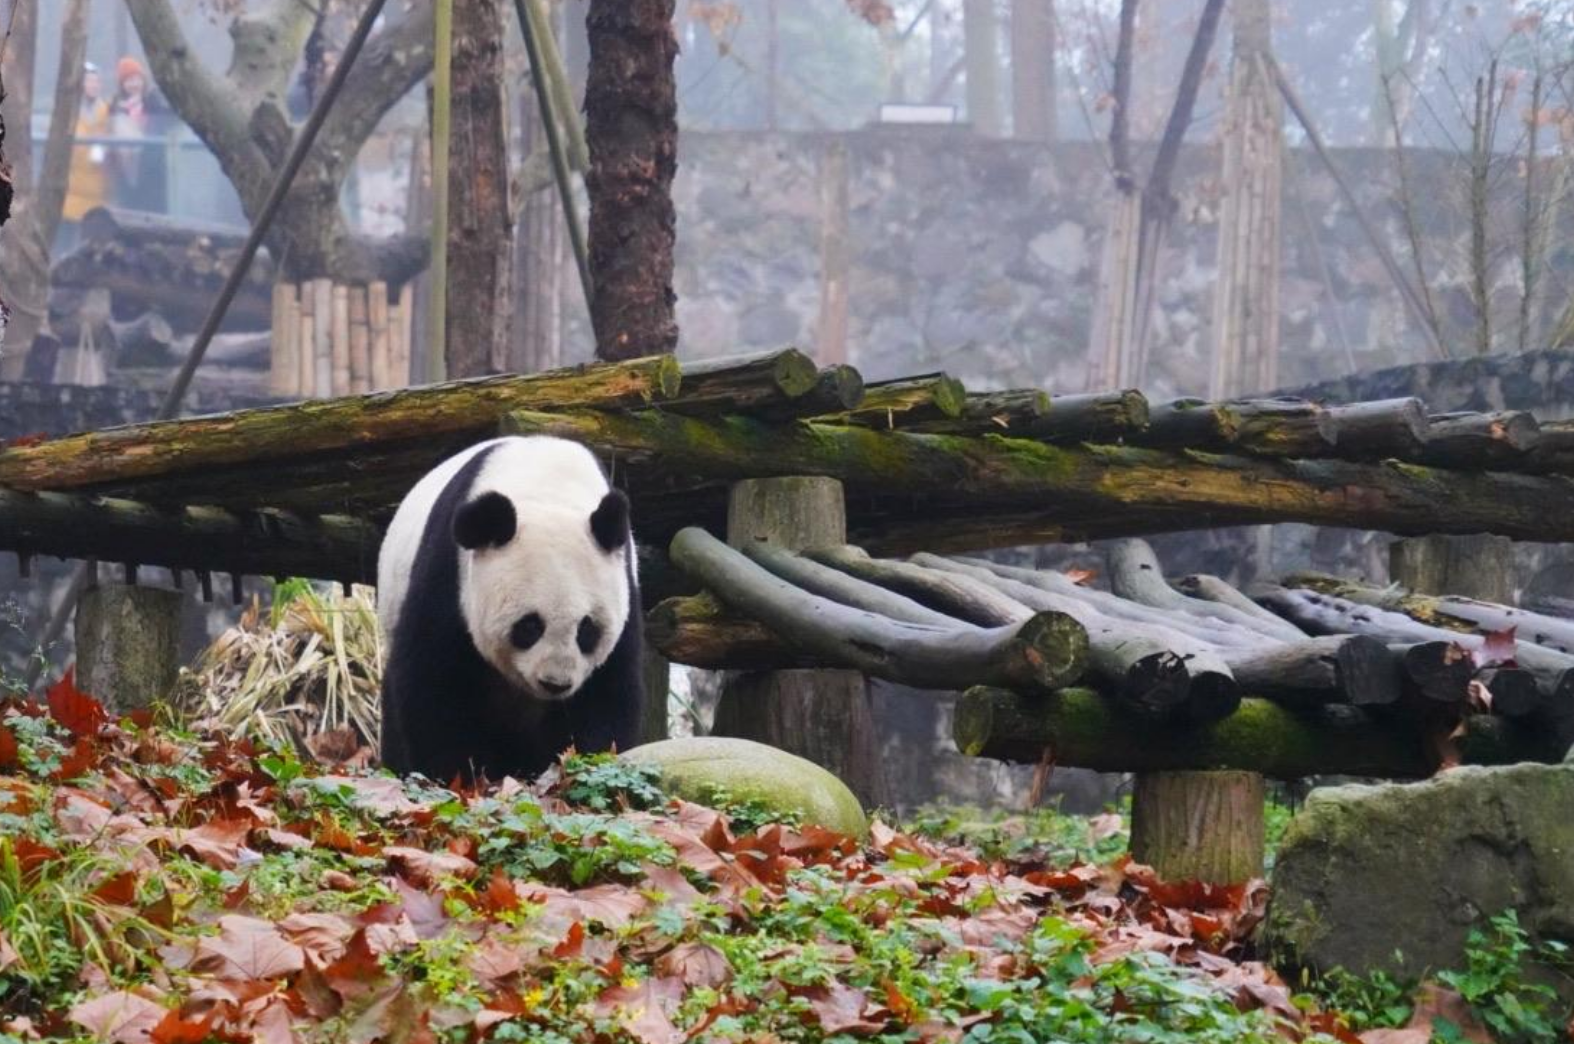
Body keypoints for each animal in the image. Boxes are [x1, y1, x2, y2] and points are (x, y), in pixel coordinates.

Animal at [377, 431, 642, 784]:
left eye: (587, 630)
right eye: (529, 626)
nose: (555, 684)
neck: (548, 488)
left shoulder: (623, 587)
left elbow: (607, 692)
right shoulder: (450, 576)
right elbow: (434, 679)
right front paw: (461, 775)